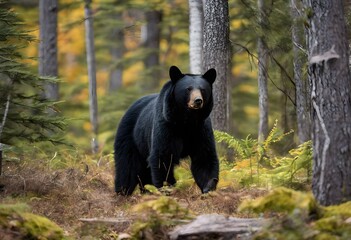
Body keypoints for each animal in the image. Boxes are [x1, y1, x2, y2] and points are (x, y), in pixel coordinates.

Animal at [114, 65, 220, 195]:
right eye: (188, 89)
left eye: (203, 89)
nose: (198, 100)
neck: (187, 121)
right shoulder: (166, 127)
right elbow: (163, 157)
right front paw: (168, 187)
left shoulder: (201, 129)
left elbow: (204, 157)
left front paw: (208, 187)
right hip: (131, 136)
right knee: (127, 166)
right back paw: (122, 192)